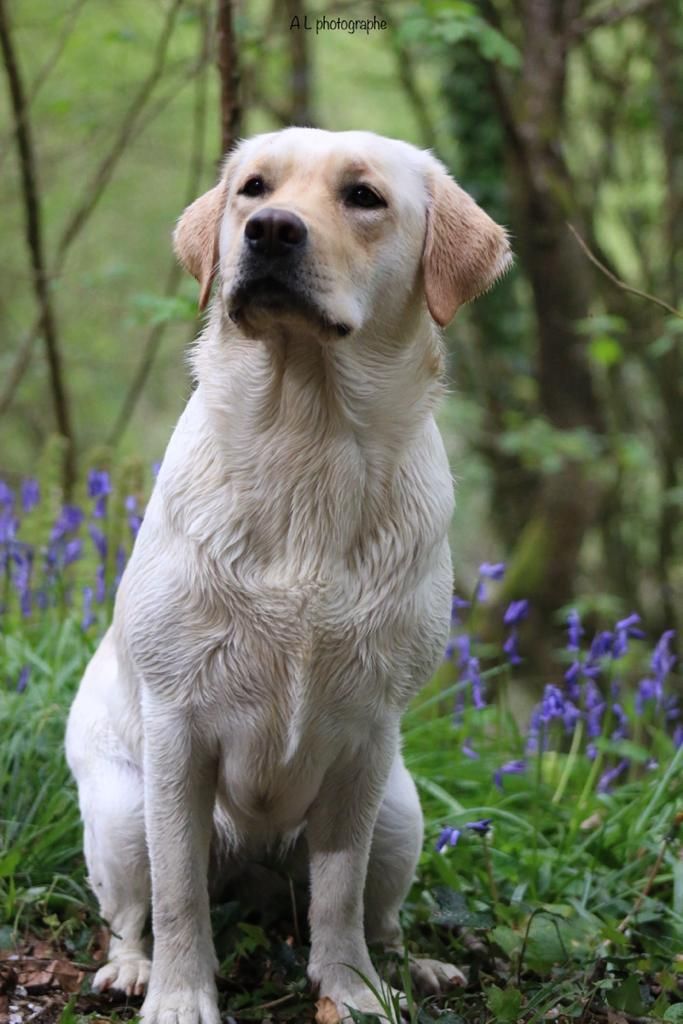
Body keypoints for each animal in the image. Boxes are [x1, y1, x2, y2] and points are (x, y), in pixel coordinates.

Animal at [66, 128, 509, 1024]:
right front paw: (179, 997)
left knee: (378, 910)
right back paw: (130, 970)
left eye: (363, 196)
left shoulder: (366, 735)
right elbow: (178, 897)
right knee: (130, 910)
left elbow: (339, 895)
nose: (268, 231)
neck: (307, 434)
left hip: (401, 814)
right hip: (123, 813)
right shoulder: (178, 727)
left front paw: (351, 989)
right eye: (253, 188)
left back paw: (416, 968)